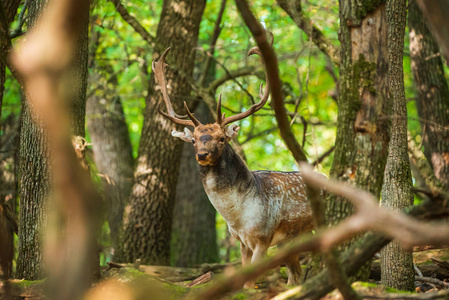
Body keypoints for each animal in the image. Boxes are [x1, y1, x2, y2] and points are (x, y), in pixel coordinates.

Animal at [152, 45, 314, 288]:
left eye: (221, 138)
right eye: (194, 140)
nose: (202, 154)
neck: (237, 217)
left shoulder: (263, 236)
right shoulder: (242, 242)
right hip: (289, 241)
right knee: (296, 275)